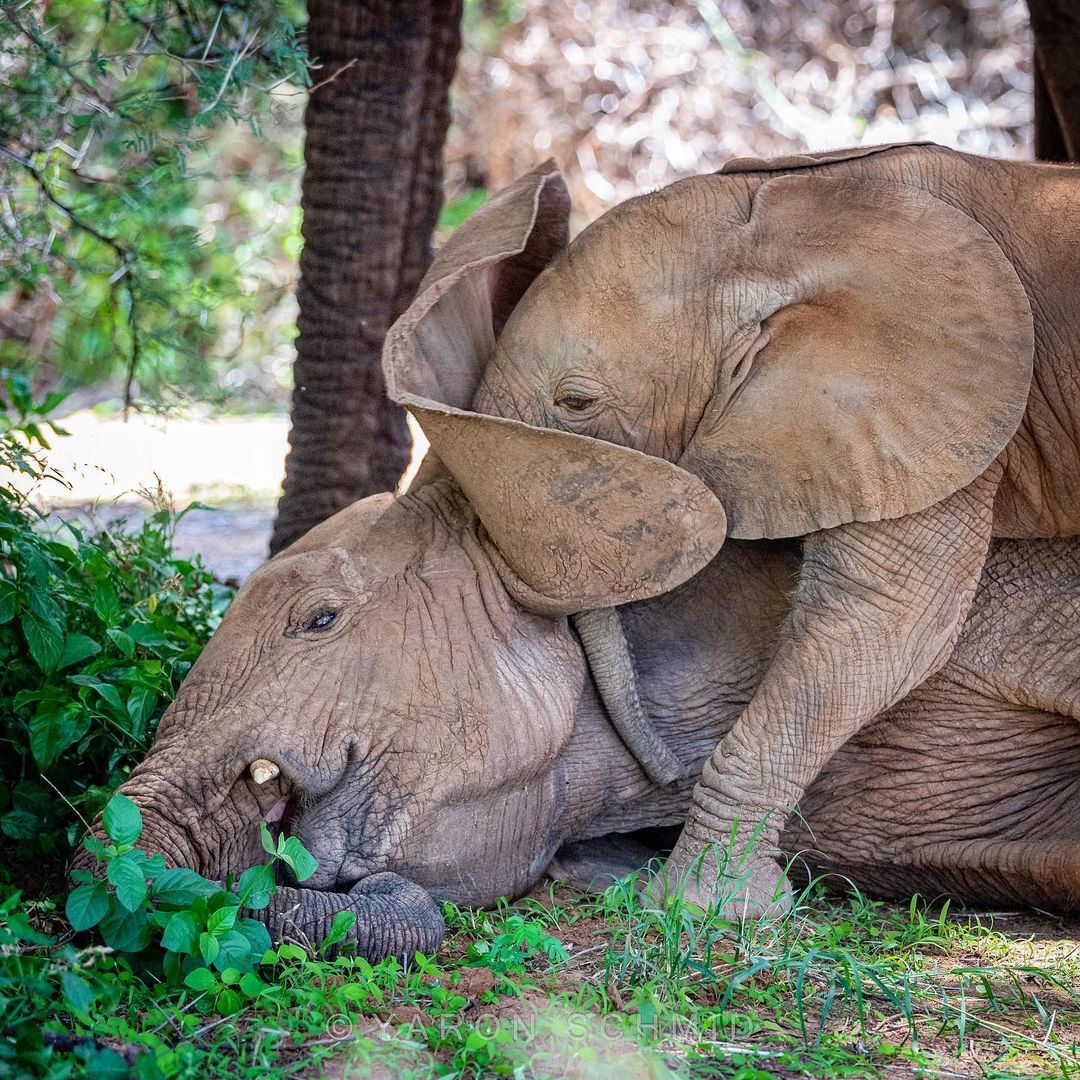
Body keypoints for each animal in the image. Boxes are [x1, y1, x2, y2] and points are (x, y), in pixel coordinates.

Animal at [384, 139, 1080, 915]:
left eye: (576, 402)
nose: (661, 773)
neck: (799, 219)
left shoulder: (951, 402)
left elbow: (887, 624)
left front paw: (703, 908)